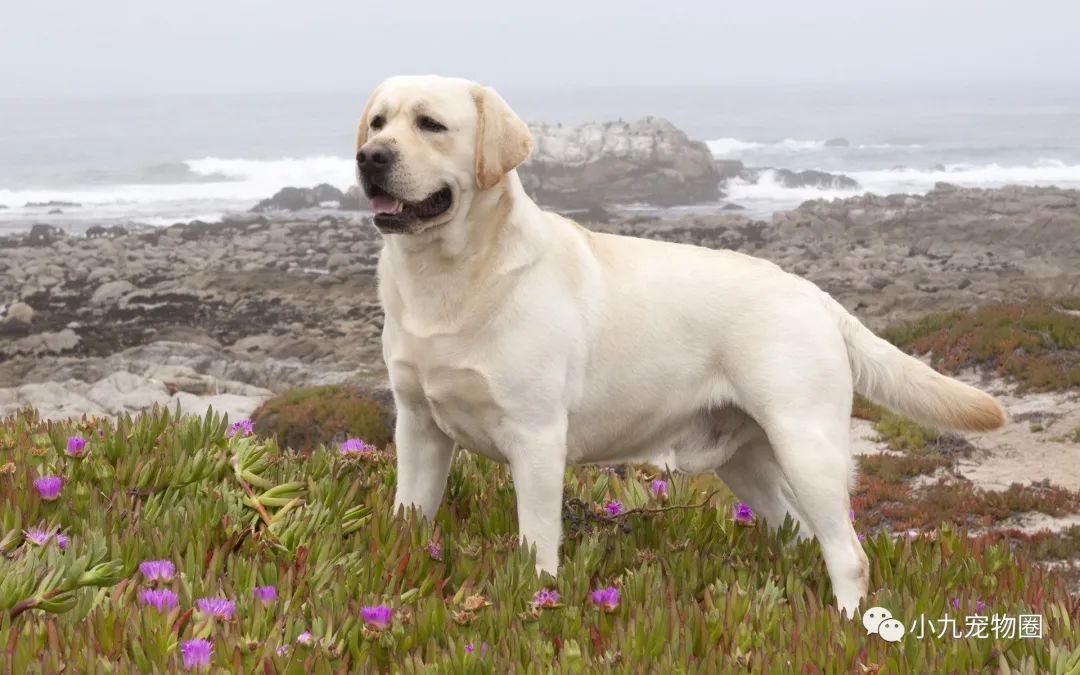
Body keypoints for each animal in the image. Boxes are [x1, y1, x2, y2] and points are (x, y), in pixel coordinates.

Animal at [358, 75, 1006, 617]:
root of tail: (817, 295)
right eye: (378, 122)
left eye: (431, 124)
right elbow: (408, 515)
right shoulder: (418, 428)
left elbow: (537, 543)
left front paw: (538, 598)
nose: (370, 158)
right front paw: (398, 569)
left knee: (850, 552)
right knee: (800, 532)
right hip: (747, 461)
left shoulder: (536, 438)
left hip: (807, 446)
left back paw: (847, 628)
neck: (450, 277)